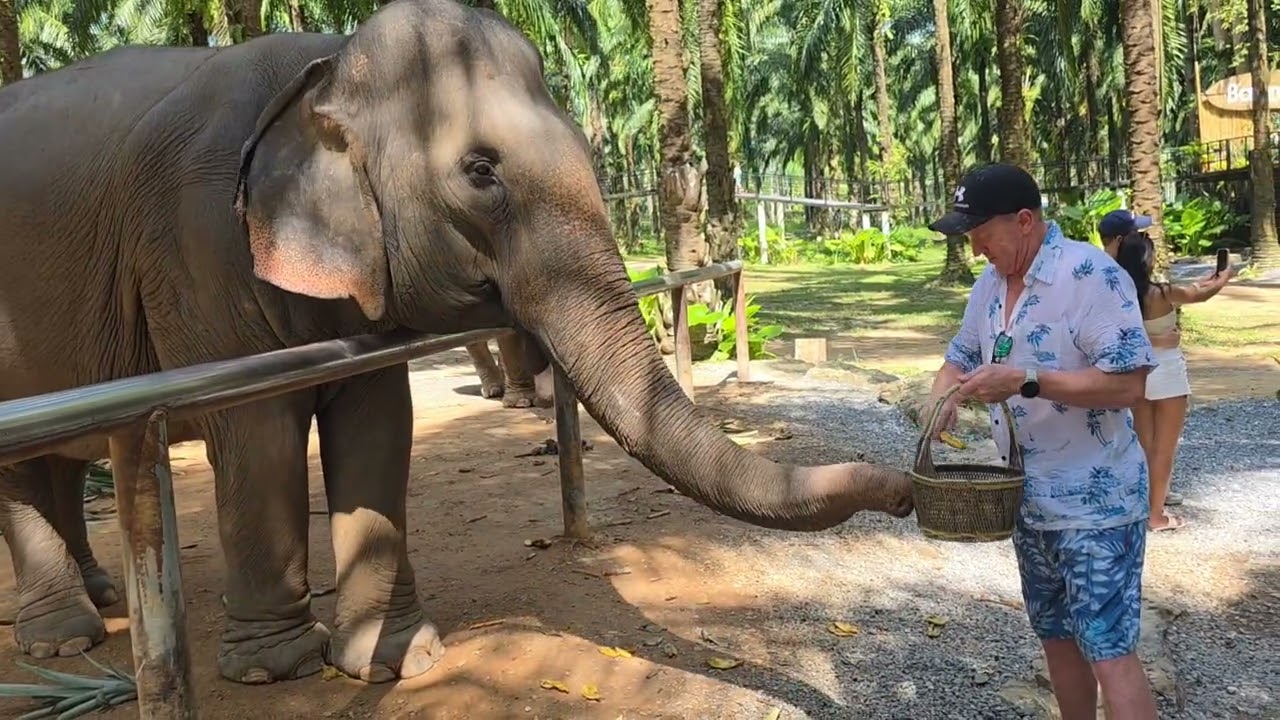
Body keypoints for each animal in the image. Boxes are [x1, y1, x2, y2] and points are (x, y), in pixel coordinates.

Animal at [0, 0, 914, 687]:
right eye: (480, 172)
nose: (907, 489)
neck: (326, 67)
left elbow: (378, 421)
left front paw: (400, 659)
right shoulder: (194, 245)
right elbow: (256, 436)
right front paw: (276, 670)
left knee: (58, 462)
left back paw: (97, 602)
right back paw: (63, 638)